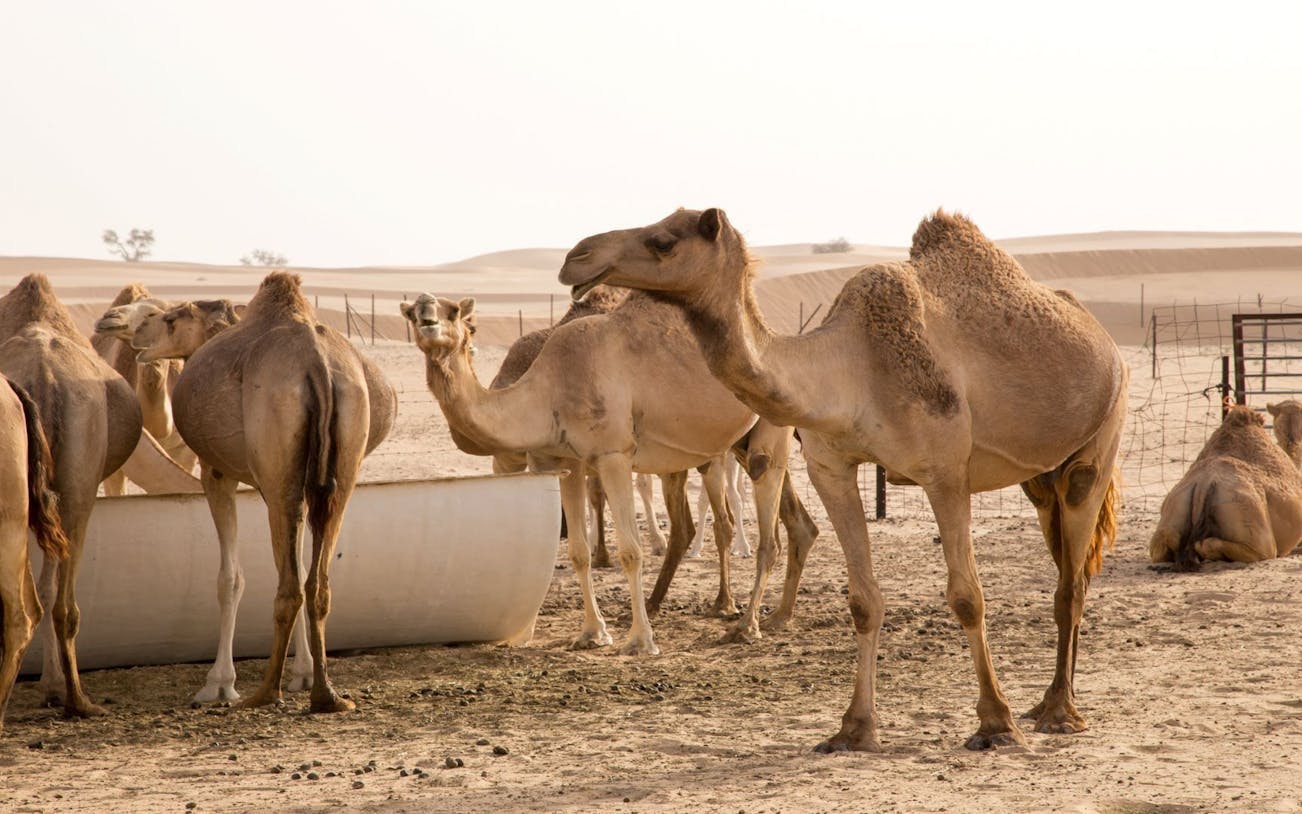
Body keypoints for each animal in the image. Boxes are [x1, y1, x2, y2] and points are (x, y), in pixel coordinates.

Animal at [0, 274, 142, 717]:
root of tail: (43, 375)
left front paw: (48, 687)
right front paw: (52, 688)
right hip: (80, 480)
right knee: (63, 602)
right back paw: (79, 700)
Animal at [133, 275, 397, 710]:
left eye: (171, 319)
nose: (138, 332)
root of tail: (316, 365)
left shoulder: (216, 472)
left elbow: (230, 578)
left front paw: (218, 684)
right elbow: (298, 568)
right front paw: (302, 674)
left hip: (278, 474)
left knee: (289, 585)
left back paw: (265, 692)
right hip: (340, 470)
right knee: (316, 582)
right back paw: (326, 695)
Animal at [560, 207, 1127, 751]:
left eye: (663, 241)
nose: (575, 256)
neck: (851, 370)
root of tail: (1105, 340)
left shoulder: (945, 473)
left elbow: (968, 596)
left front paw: (995, 724)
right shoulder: (830, 467)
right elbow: (863, 601)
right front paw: (853, 730)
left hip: (1099, 442)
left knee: (1072, 580)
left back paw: (1059, 713)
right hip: (1041, 480)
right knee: (1066, 562)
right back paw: (1048, 702)